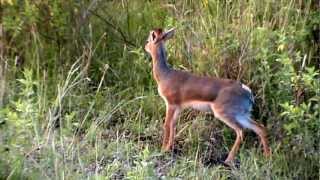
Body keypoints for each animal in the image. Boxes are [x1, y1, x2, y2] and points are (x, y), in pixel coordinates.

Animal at [144, 27, 272, 163]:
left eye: (148, 40)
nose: (145, 46)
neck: (165, 75)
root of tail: (247, 91)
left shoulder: (171, 104)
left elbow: (167, 125)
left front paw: (163, 149)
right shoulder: (178, 107)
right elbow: (173, 125)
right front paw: (169, 148)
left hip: (224, 114)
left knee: (241, 131)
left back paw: (228, 160)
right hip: (242, 114)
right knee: (260, 128)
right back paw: (267, 157)